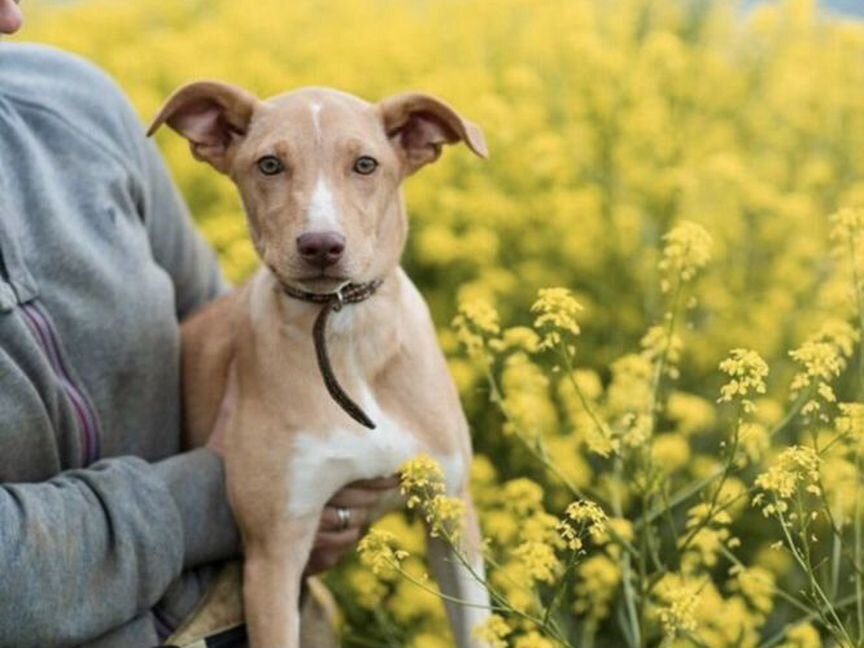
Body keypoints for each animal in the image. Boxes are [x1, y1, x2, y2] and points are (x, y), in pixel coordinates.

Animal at [148, 82, 492, 648]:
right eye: (269, 165)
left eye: (366, 164)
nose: (321, 246)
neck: (343, 329)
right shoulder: (273, 554)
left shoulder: (450, 506)